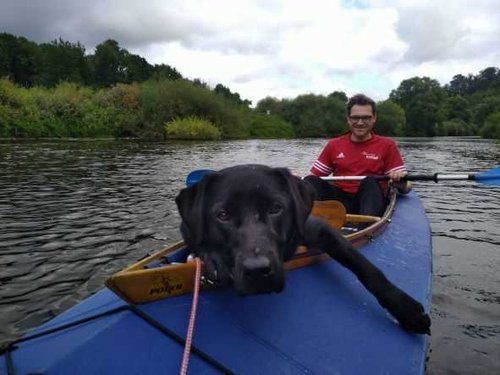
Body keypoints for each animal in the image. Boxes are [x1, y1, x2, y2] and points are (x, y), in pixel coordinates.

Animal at [176, 164, 430, 334]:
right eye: (222, 215)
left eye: (276, 208)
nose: (258, 272)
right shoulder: (187, 227)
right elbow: (196, 239)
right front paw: (212, 258)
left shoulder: (319, 229)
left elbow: (366, 268)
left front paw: (406, 310)